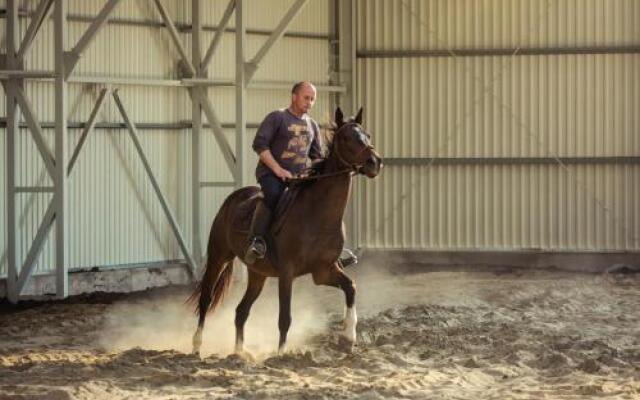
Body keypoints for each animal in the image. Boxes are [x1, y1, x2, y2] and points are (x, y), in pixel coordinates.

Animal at [189, 108, 380, 354]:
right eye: (347, 137)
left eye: (367, 135)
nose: (375, 162)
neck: (317, 214)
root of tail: (232, 199)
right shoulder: (287, 273)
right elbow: (284, 318)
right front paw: (281, 354)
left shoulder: (323, 271)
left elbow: (351, 287)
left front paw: (348, 337)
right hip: (218, 257)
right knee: (206, 299)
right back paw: (197, 345)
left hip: (257, 274)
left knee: (241, 311)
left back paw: (240, 352)